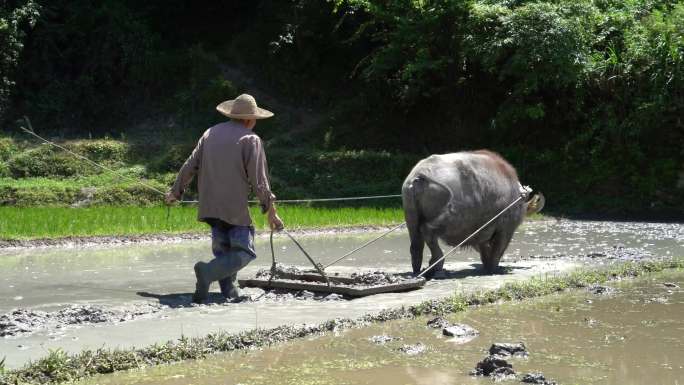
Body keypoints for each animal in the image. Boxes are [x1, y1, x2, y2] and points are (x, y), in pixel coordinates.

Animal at [400, 148, 544, 278]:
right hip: (452, 218)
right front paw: (493, 268)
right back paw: (438, 267)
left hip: (411, 215)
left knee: (416, 243)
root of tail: (419, 176)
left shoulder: (481, 231)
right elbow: (498, 250)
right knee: (427, 231)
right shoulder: (505, 228)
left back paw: (419, 270)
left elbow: (484, 250)